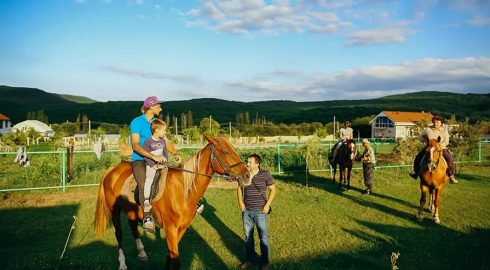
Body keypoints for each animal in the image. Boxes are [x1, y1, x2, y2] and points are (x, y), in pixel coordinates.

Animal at [94, 135, 251, 270]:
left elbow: (170, 255)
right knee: (119, 234)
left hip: (132, 210)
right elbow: (175, 259)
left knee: (133, 226)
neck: (183, 190)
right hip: (114, 209)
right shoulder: (171, 229)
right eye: (225, 152)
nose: (247, 176)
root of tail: (111, 170)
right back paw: (122, 263)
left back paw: (142, 253)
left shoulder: (182, 229)